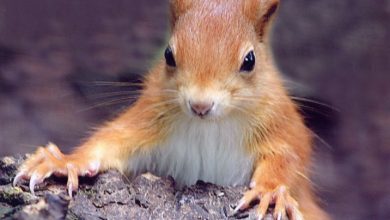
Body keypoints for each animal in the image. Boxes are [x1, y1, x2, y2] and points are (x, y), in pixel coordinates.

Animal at [12, 0, 330, 219]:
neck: (209, 126)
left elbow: (288, 157)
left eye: (249, 60)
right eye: (168, 55)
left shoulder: (280, 122)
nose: (200, 105)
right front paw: (65, 161)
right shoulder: (149, 116)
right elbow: (112, 140)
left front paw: (270, 191)